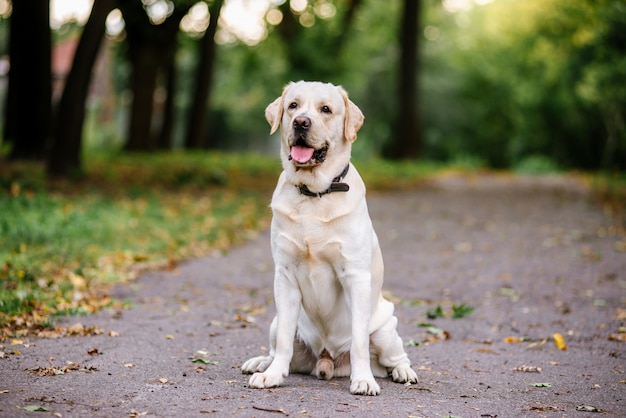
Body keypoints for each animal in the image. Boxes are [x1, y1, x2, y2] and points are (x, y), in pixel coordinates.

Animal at [241, 81, 416, 396]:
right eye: (293, 106)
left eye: (325, 109)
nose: (301, 122)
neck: (314, 194)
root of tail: (327, 360)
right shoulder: (285, 276)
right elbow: (284, 341)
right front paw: (272, 375)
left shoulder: (355, 276)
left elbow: (359, 341)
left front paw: (363, 380)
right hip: (275, 320)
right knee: (278, 346)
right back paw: (262, 363)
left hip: (387, 329)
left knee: (395, 356)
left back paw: (402, 372)